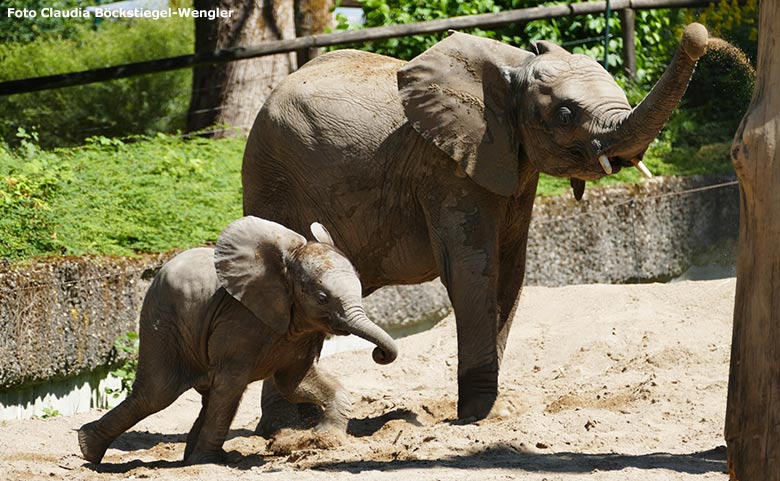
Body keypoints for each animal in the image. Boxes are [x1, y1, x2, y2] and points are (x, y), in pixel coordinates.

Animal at [77, 216, 400, 464]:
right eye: (322, 298)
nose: (379, 354)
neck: (286, 268)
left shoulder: (301, 332)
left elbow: (295, 382)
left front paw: (325, 439)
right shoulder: (239, 322)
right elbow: (233, 383)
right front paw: (208, 462)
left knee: (201, 394)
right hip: (163, 321)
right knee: (158, 393)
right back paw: (88, 451)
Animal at [242, 24, 708, 418]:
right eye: (565, 114)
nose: (697, 36)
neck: (513, 69)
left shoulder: (511, 165)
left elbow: (510, 271)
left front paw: (493, 409)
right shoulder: (447, 164)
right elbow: (473, 269)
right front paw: (480, 414)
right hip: (272, 178)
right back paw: (288, 431)